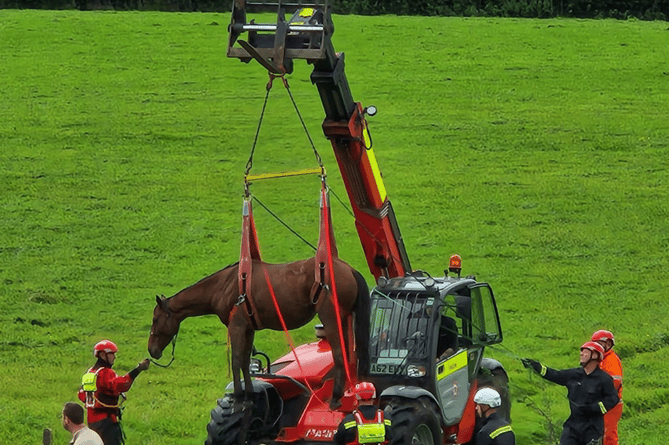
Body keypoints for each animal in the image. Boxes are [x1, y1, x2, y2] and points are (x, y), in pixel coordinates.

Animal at [147, 256, 370, 406]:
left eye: (155, 319)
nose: (152, 350)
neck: (224, 285)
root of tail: (349, 269)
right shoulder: (248, 329)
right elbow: (246, 361)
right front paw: (250, 394)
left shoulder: (236, 327)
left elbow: (236, 360)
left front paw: (238, 396)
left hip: (331, 319)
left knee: (340, 354)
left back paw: (336, 397)